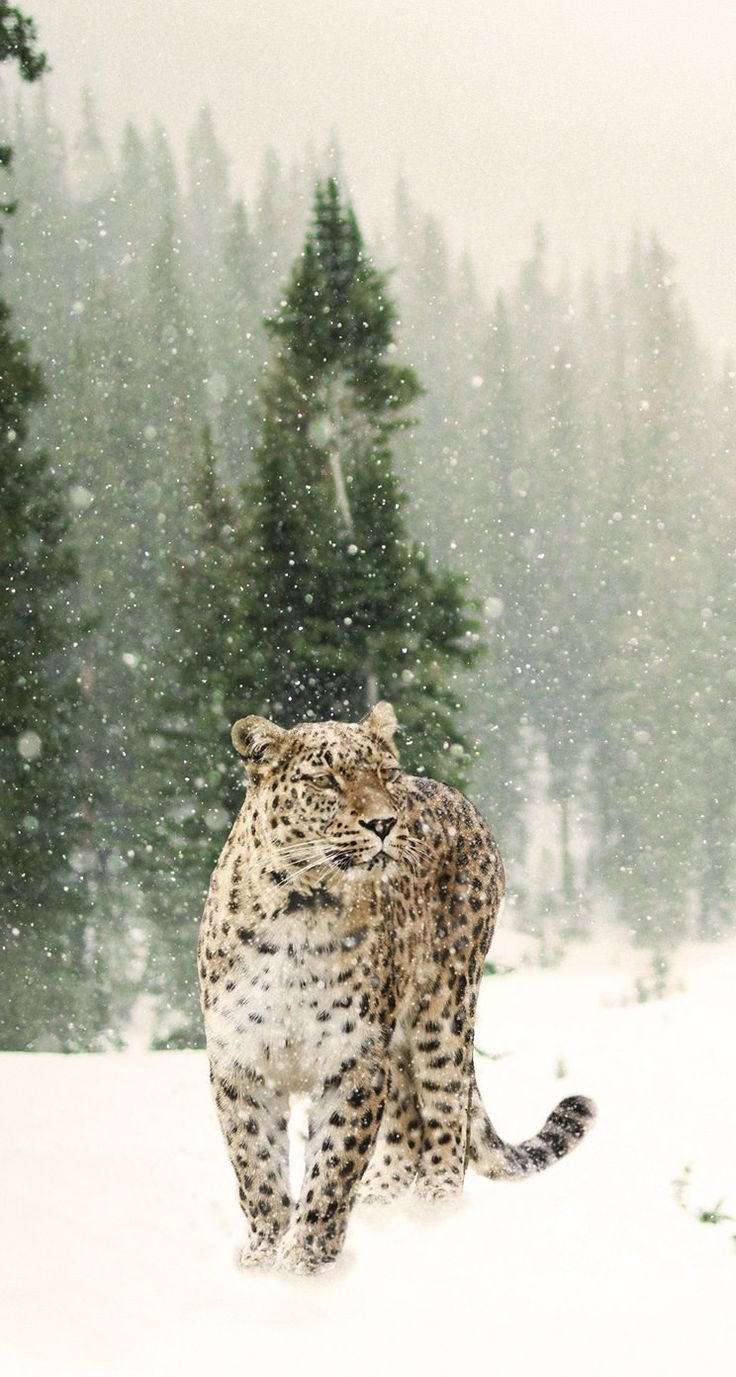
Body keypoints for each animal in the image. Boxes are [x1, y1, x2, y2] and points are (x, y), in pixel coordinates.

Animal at [198, 700, 596, 1274]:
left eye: (384, 774)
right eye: (325, 780)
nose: (384, 822)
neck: (301, 911)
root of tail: (457, 797)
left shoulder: (355, 1060)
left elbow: (333, 1165)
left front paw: (305, 1263)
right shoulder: (241, 1062)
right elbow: (257, 1168)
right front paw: (263, 1257)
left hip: (444, 1009)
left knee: (446, 1111)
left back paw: (433, 1213)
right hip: (402, 1040)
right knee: (408, 1118)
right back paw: (383, 1203)